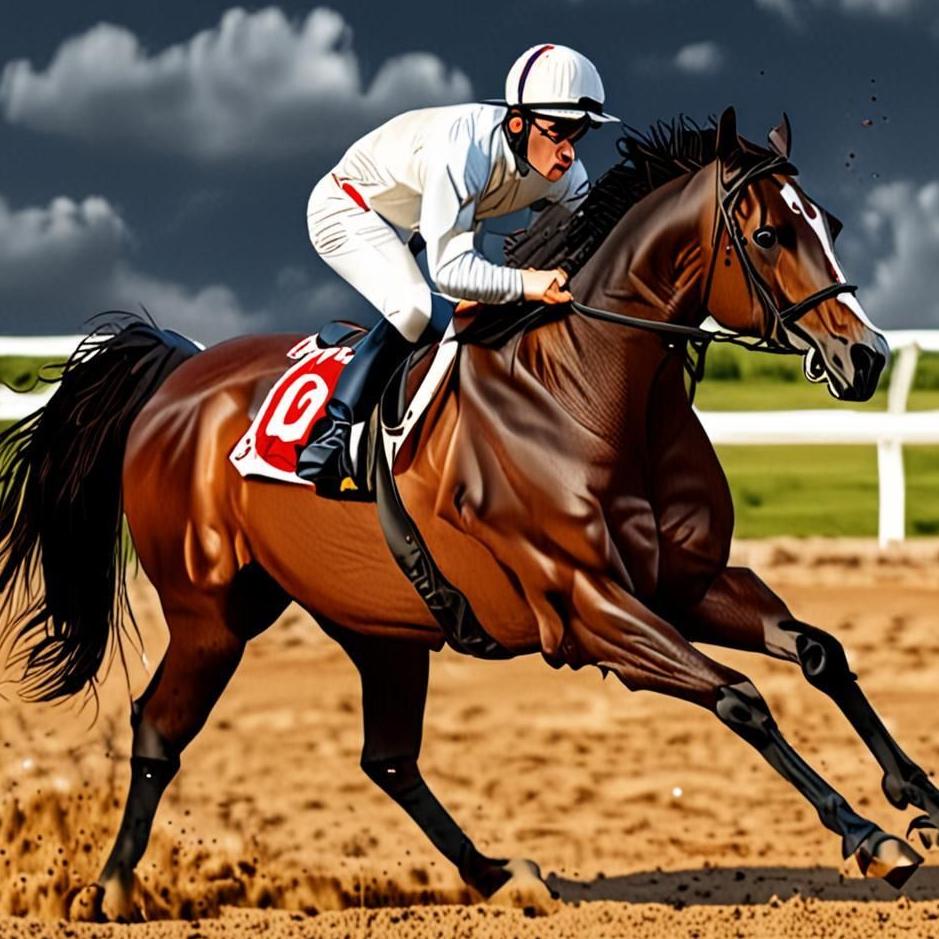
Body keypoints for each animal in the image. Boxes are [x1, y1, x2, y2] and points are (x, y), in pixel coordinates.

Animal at [1, 106, 933, 921]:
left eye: (829, 224)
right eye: (769, 234)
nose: (863, 357)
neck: (588, 389)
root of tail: (178, 372)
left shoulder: (687, 580)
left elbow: (818, 651)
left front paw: (917, 790)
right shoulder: (587, 606)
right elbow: (740, 698)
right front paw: (866, 834)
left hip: (378, 619)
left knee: (387, 758)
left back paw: (496, 873)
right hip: (213, 611)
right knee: (159, 728)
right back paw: (111, 889)